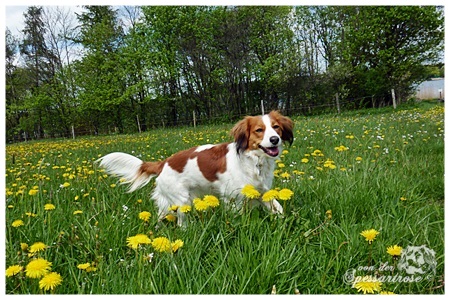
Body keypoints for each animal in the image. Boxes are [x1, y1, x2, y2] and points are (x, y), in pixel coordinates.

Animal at [96, 110, 294, 225]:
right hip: (182, 200)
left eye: (276, 127)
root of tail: (163, 163)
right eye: (259, 130)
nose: (274, 139)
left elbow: (278, 209)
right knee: (181, 222)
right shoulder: (233, 198)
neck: (252, 160)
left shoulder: (261, 191)